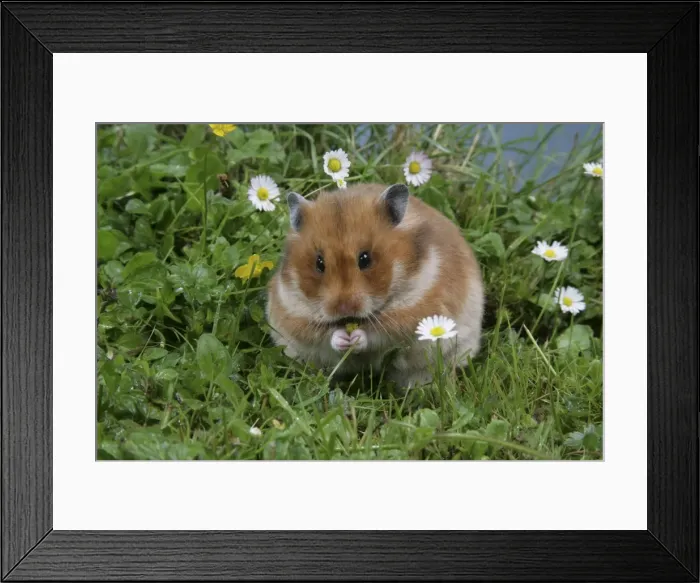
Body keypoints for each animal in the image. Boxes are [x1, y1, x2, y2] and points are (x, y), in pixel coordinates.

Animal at [265, 183, 484, 388]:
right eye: (319, 263)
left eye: (365, 259)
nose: (343, 308)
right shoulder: (291, 311)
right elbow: (323, 334)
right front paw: (343, 339)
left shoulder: (414, 312)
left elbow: (377, 333)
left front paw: (356, 338)